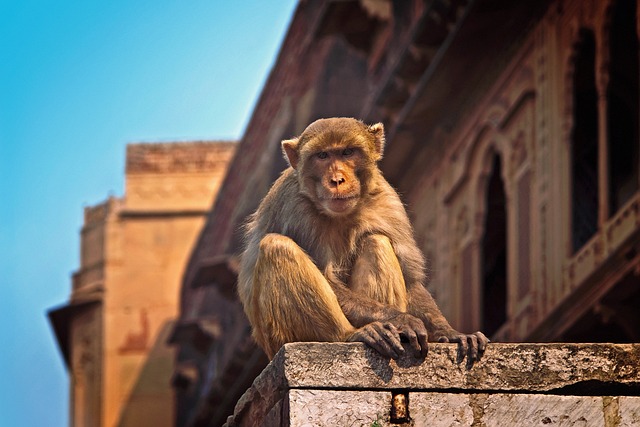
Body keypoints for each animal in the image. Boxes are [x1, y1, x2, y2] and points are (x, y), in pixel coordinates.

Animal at [238, 118, 488, 364]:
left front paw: (449, 333)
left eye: (347, 152)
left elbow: (411, 280)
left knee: (376, 240)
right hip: (277, 339)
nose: (337, 180)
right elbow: (326, 276)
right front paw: (400, 318)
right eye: (322, 156)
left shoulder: (388, 201)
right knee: (277, 246)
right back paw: (351, 335)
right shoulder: (292, 206)